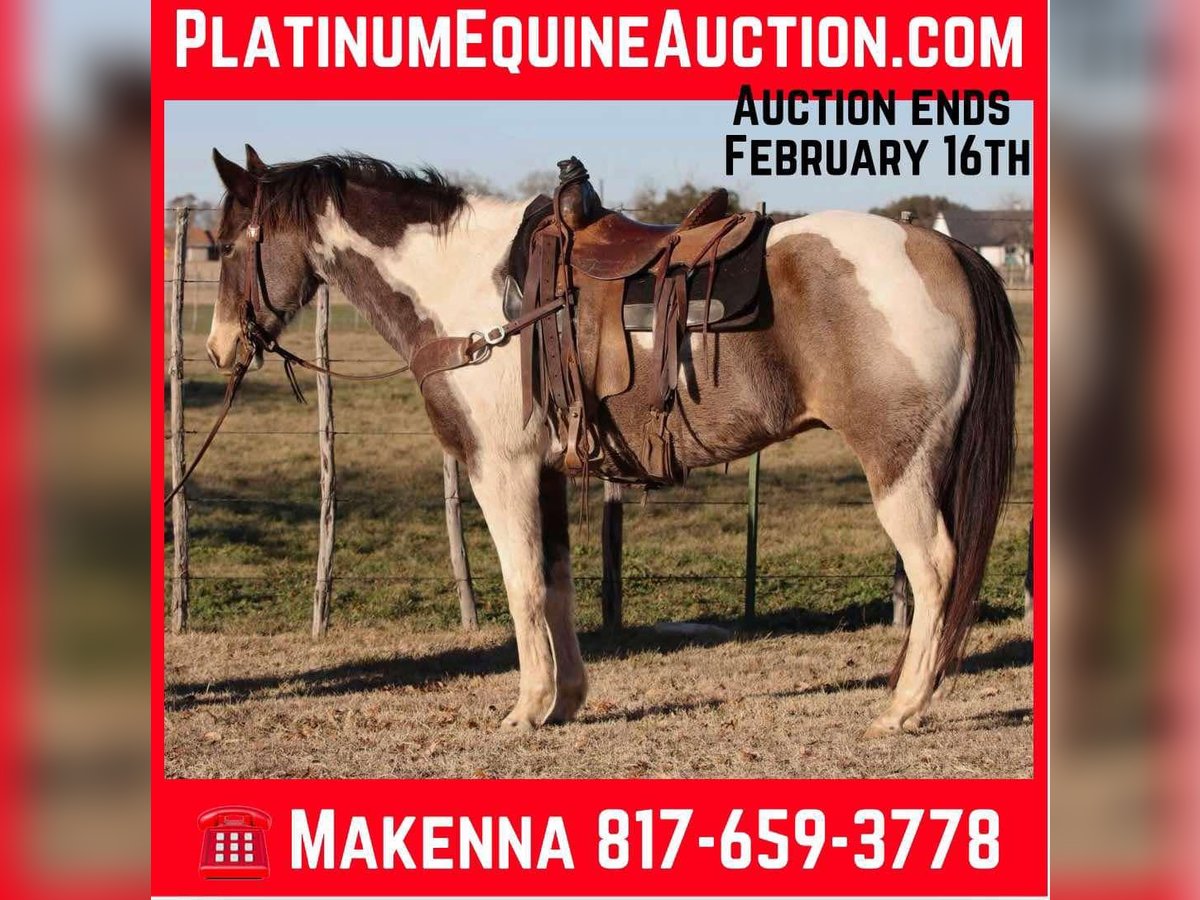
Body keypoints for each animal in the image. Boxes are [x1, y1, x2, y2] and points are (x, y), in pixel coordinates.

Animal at [204, 145, 1019, 736]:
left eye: (228, 245)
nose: (218, 348)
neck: (476, 295)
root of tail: (941, 250)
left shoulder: (500, 470)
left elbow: (522, 584)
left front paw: (525, 709)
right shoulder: (546, 473)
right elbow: (557, 585)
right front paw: (564, 700)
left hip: (899, 468)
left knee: (935, 570)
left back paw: (902, 708)